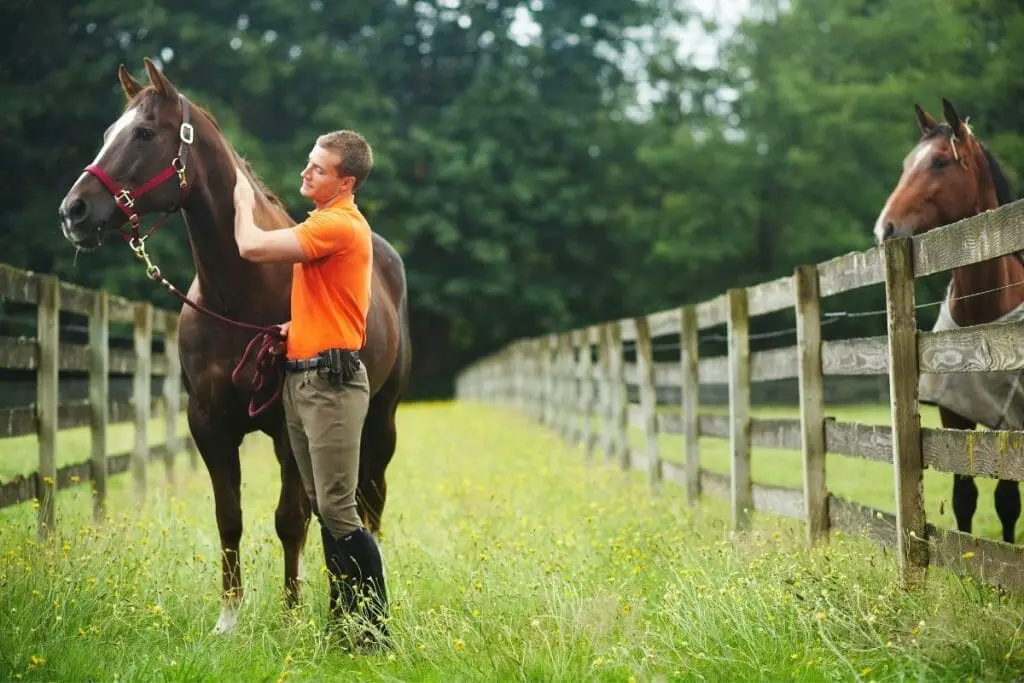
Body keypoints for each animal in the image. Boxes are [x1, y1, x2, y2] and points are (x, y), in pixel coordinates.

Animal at [55, 58, 411, 634]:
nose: (74, 211)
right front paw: (229, 617)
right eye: (109, 133)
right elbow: (230, 518)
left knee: (368, 498)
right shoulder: (209, 424)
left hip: (381, 416)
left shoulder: (289, 428)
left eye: (144, 133)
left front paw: (289, 615)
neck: (240, 292)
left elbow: (289, 520)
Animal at [872, 97, 1024, 544]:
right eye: (907, 164)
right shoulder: (954, 414)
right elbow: (964, 497)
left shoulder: (1009, 418)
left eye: (940, 162)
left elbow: (1007, 501)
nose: (884, 229)